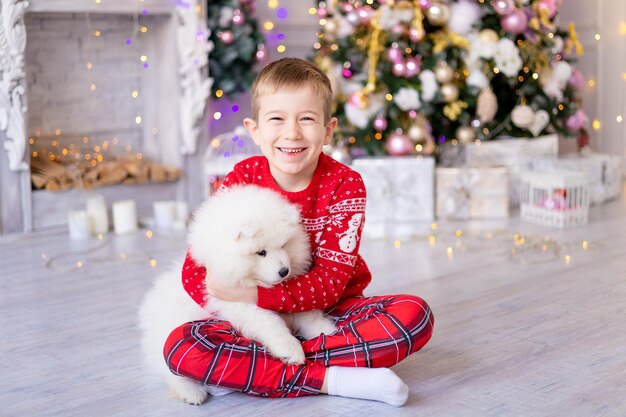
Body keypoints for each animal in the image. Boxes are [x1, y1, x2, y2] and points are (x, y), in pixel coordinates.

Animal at [138, 185, 336, 404]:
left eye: (284, 245)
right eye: (261, 252)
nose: (284, 271)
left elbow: (307, 310)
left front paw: (326, 330)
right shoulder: (237, 303)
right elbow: (270, 323)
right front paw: (290, 349)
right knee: (172, 371)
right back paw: (191, 392)